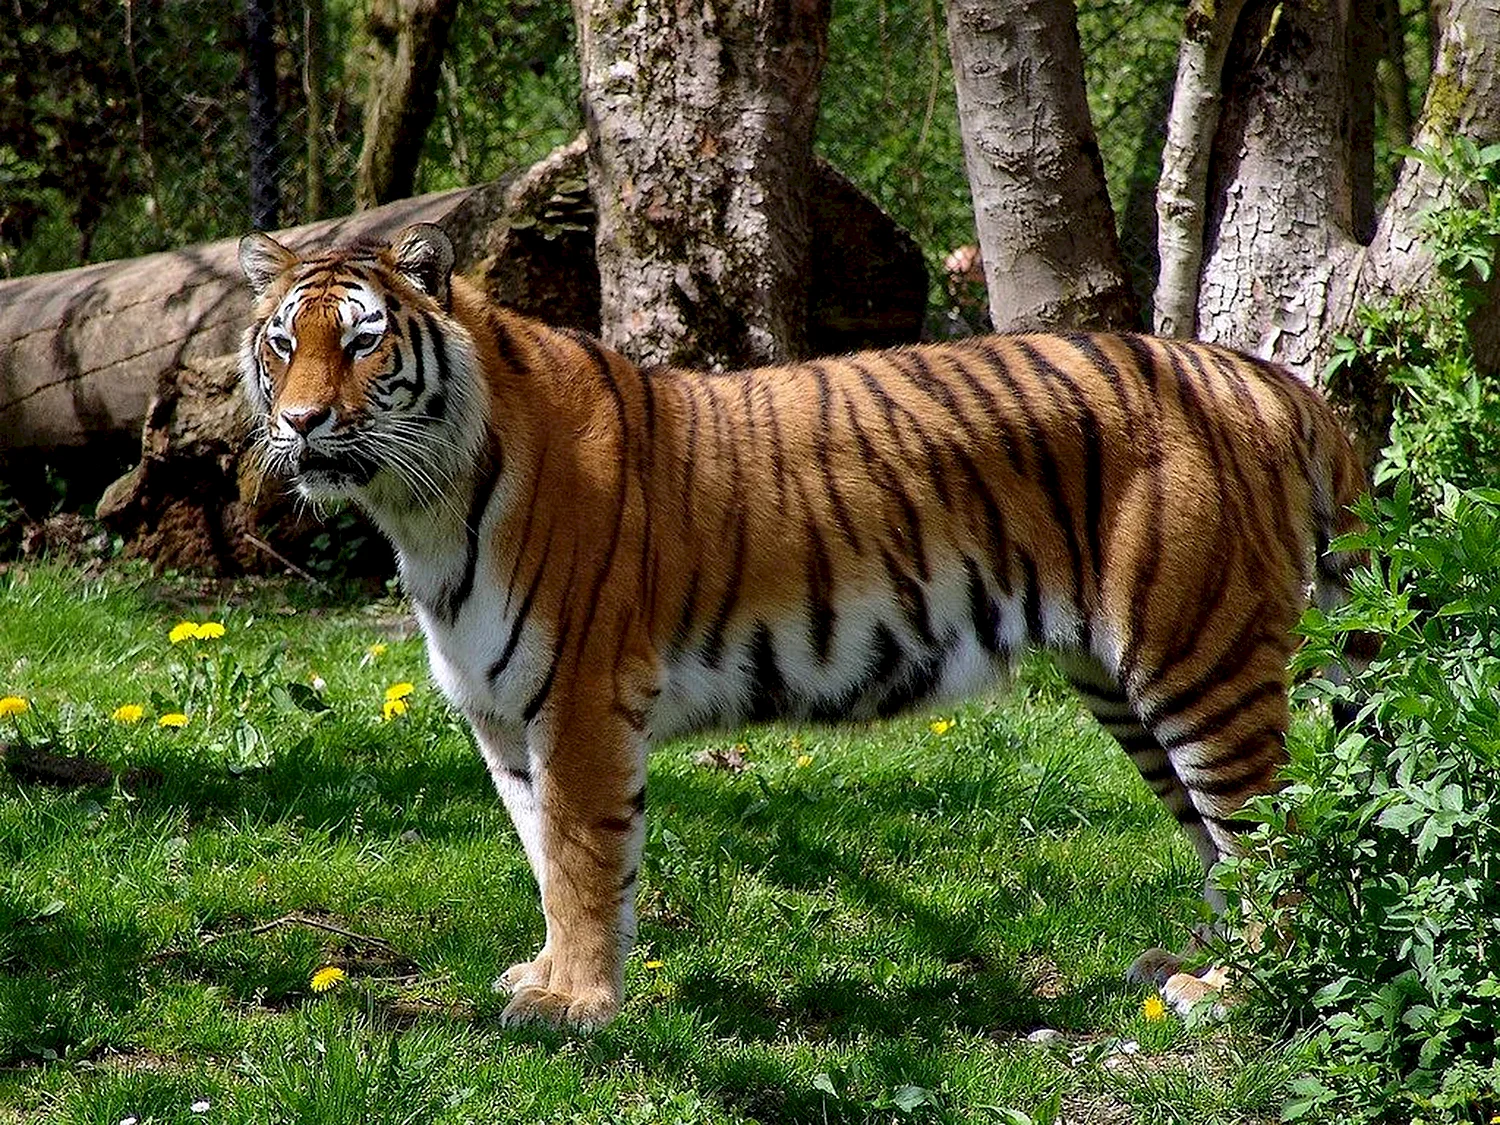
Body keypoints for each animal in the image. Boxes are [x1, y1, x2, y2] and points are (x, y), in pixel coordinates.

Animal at [238, 223, 1367, 1030]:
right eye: (283, 344)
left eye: (363, 342)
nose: (299, 422)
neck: (419, 507)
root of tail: (1263, 375)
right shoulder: (505, 711)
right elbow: (542, 851)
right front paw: (550, 977)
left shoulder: (583, 697)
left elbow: (583, 857)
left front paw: (576, 1006)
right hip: (1129, 681)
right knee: (1226, 846)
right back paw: (1191, 970)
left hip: (1200, 658)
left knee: (1278, 834)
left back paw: (1236, 996)